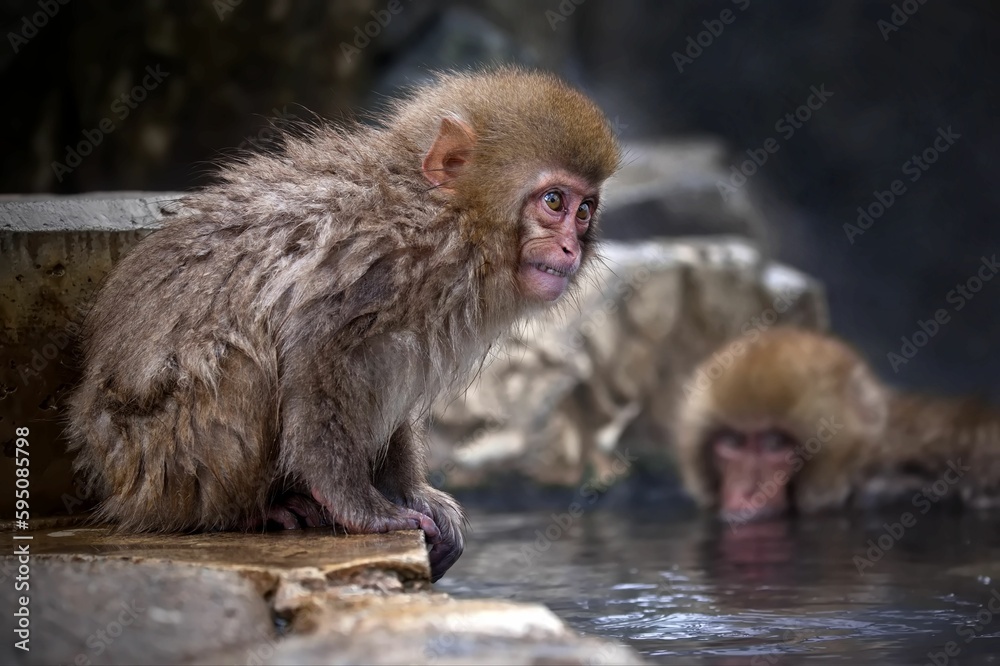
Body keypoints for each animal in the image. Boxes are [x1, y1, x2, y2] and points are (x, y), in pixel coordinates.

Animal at [66, 67, 621, 581]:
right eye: (554, 202)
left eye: (585, 210)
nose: (570, 248)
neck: (442, 218)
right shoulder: (372, 262)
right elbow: (315, 360)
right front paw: (361, 506)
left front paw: (411, 491)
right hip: (162, 461)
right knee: (242, 363)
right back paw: (251, 513)